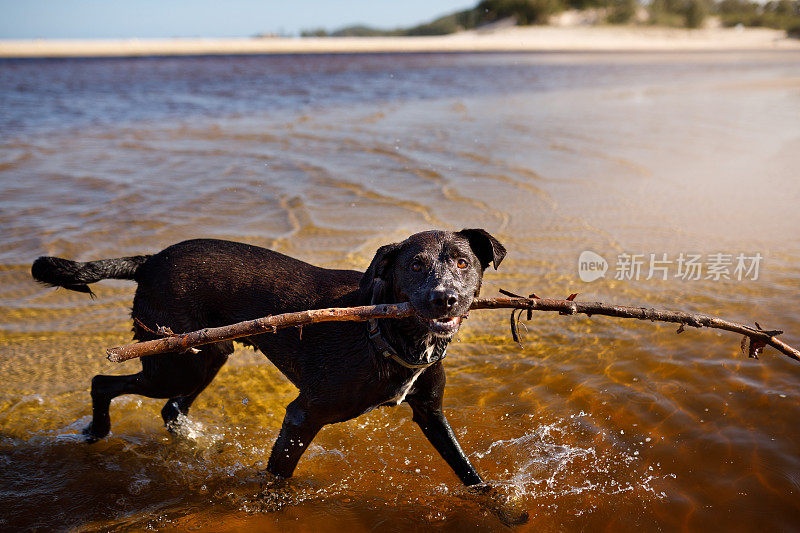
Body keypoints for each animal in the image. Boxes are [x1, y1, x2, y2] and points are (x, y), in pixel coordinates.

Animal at [32, 228, 512, 494]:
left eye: (463, 263)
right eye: (414, 265)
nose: (445, 299)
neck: (388, 333)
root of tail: (148, 262)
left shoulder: (430, 411)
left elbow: (465, 468)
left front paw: (496, 504)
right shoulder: (303, 414)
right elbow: (277, 477)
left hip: (207, 356)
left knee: (170, 409)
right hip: (174, 363)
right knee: (102, 382)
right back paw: (96, 432)